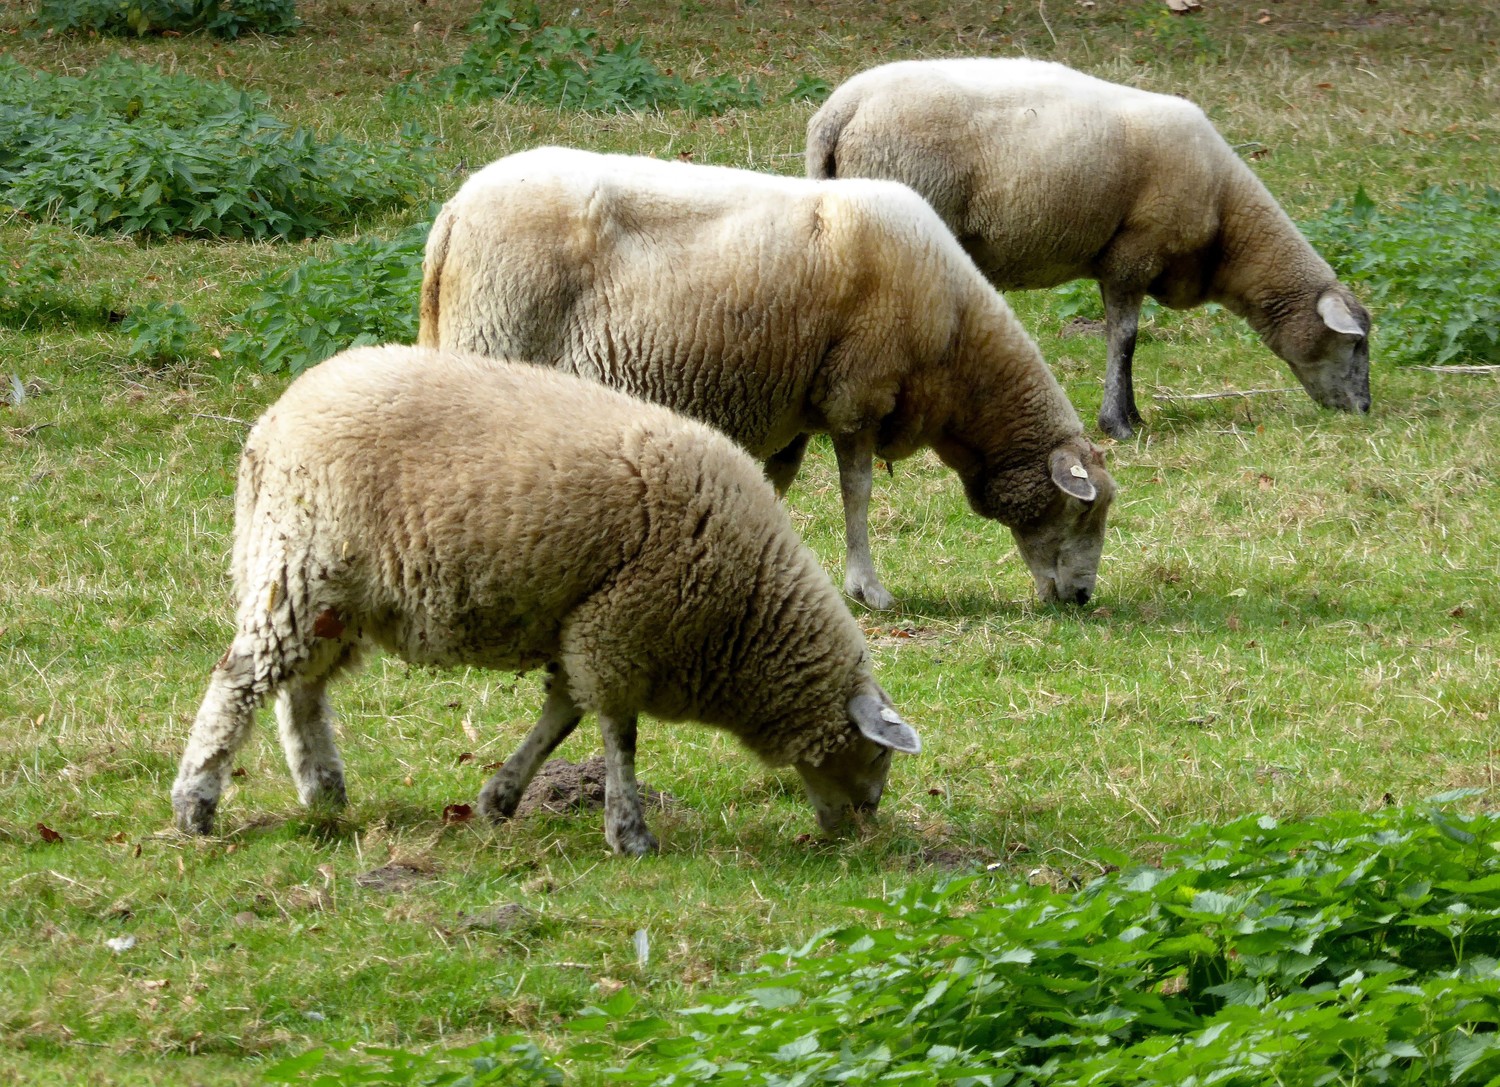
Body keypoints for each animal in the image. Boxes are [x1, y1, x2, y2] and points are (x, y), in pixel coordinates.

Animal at [164, 343, 918, 851]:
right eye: (879, 754)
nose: (864, 827)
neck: (747, 611)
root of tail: (273, 420)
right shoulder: (623, 628)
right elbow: (619, 732)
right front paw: (628, 830)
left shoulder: (586, 626)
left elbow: (562, 716)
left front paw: (501, 795)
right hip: (303, 561)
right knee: (241, 678)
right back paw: (197, 802)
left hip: (335, 595)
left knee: (302, 690)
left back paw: (323, 791)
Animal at [420, 146, 1116, 611]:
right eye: (1084, 511)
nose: (1081, 597)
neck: (956, 348)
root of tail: (452, 213)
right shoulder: (857, 393)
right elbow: (858, 491)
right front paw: (868, 589)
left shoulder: (795, 406)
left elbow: (771, 484)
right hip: (495, 342)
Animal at [810, 58, 1374, 440]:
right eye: (1356, 345)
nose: (1364, 410)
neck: (1228, 226)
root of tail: (840, 110)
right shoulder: (1135, 254)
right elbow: (1124, 339)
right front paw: (1119, 423)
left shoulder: (1119, 262)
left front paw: (1130, 415)